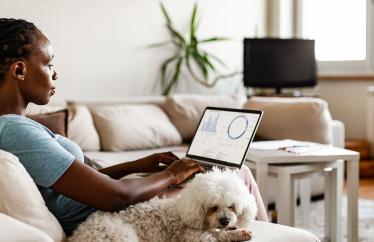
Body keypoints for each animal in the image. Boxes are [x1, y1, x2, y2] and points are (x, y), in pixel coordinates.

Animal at [69, 168, 258, 242]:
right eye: (213, 207)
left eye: (232, 206)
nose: (225, 221)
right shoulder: (195, 236)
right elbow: (218, 236)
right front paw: (236, 233)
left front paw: (236, 230)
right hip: (121, 236)